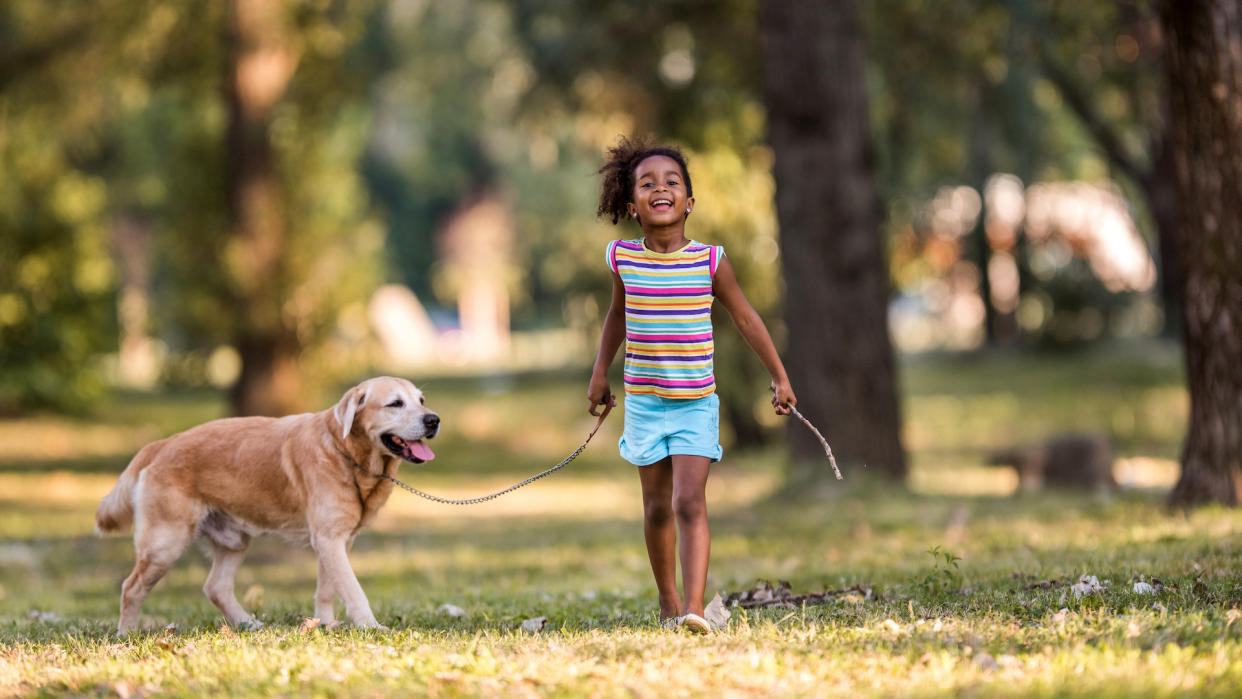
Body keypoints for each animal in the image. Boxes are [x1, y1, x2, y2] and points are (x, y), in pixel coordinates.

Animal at [94, 377, 439, 635]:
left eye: (421, 400)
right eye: (395, 403)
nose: (433, 419)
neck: (344, 450)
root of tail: (161, 444)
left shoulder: (337, 540)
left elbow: (327, 588)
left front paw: (325, 625)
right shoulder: (329, 539)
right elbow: (353, 590)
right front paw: (370, 626)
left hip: (233, 540)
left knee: (216, 587)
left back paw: (249, 624)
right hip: (165, 543)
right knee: (131, 587)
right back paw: (126, 634)